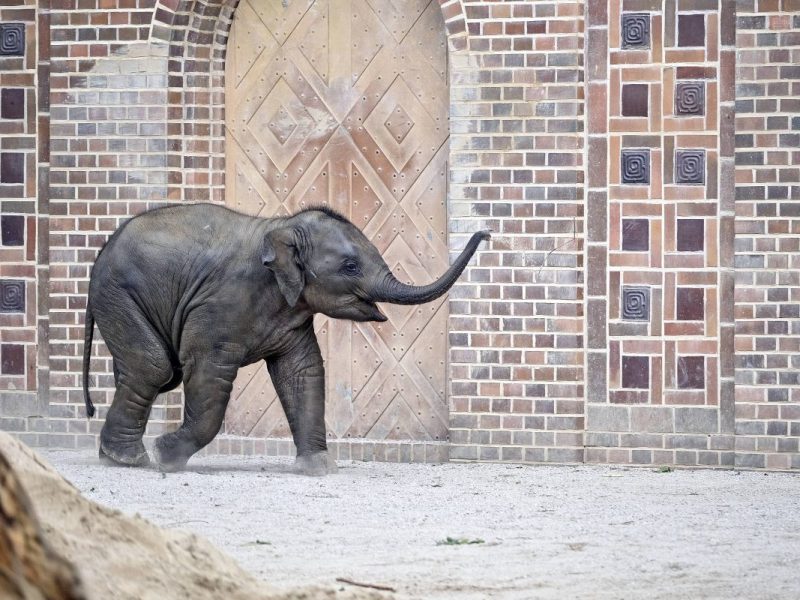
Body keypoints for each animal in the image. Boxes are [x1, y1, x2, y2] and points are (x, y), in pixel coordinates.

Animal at [84, 204, 490, 476]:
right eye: (350, 267)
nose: (485, 233)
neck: (282, 227)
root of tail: (102, 252)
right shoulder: (218, 306)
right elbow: (207, 370)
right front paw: (167, 454)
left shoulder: (293, 311)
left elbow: (302, 372)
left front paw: (319, 467)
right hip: (118, 294)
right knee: (154, 367)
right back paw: (132, 459)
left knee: (145, 370)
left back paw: (114, 456)